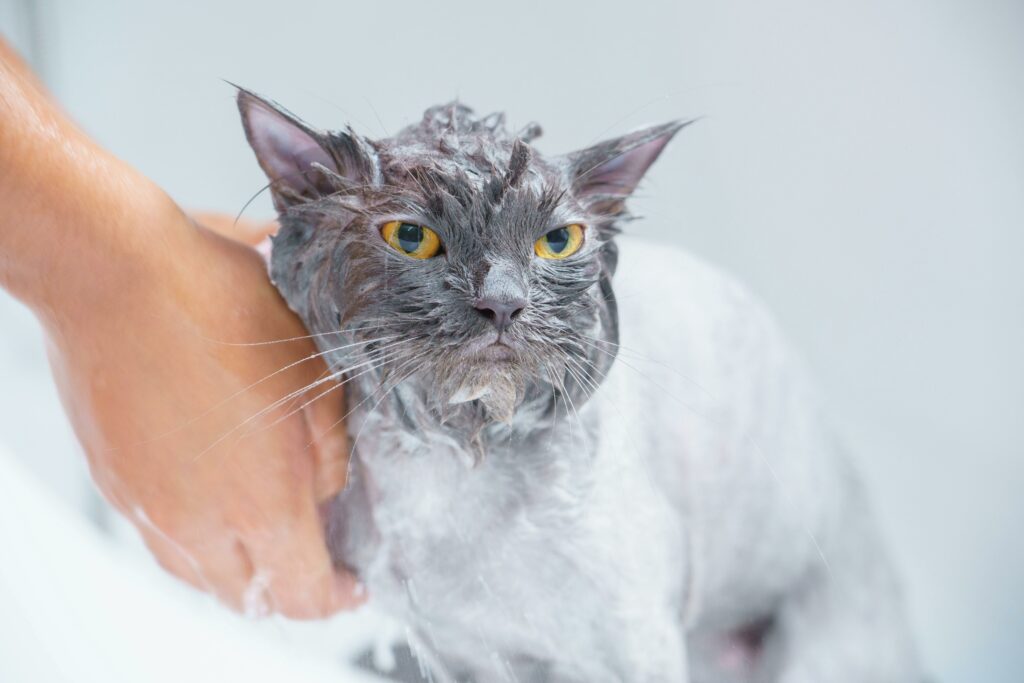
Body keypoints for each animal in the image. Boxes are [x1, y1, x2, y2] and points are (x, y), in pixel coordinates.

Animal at [237, 90, 921, 683]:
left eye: (557, 241)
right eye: (412, 237)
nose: (504, 304)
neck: (452, 469)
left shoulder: (634, 652)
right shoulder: (462, 654)